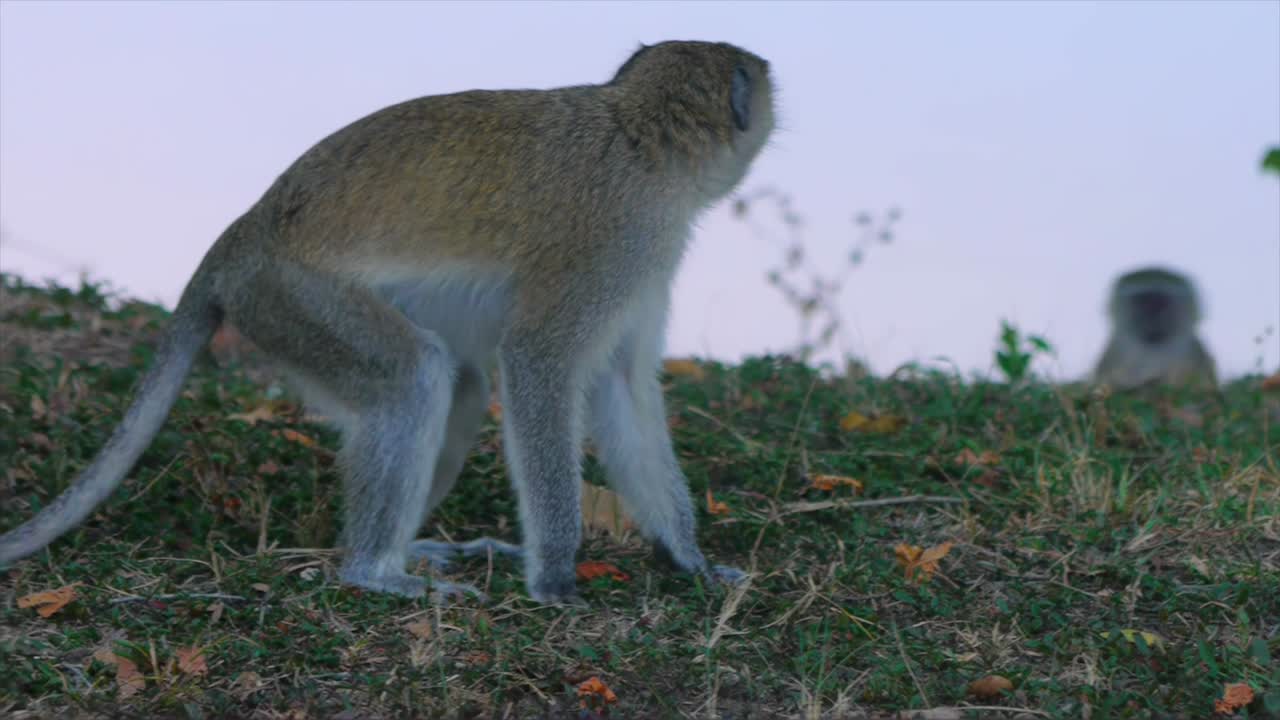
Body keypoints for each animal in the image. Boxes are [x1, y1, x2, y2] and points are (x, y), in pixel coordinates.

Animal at [0, 40, 777, 605]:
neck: (641, 138)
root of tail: (241, 235)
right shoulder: (618, 239)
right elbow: (539, 362)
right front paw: (556, 578)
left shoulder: (643, 262)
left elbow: (622, 388)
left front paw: (689, 558)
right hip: (293, 298)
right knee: (414, 378)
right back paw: (373, 571)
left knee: (457, 388)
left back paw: (411, 554)